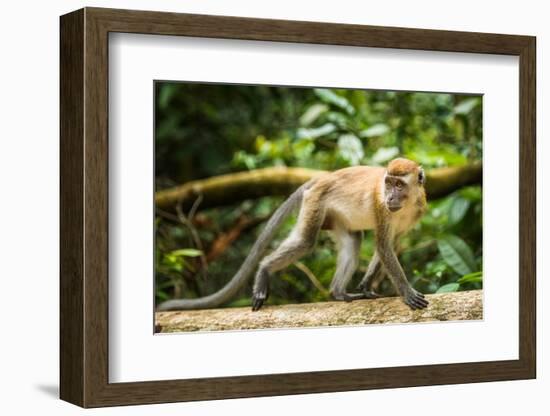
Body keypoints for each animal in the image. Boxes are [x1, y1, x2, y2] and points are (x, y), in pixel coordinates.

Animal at [157, 158, 430, 312]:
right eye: (388, 183)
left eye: (399, 185)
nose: (390, 197)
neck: (406, 204)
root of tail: (323, 178)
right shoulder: (381, 208)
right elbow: (384, 247)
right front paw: (406, 292)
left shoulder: (416, 212)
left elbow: (389, 246)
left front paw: (366, 284)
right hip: (316, 202)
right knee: (305, 242)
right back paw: (264, 270)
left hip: (333, 215)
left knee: (352, 242)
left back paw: (338, 293)